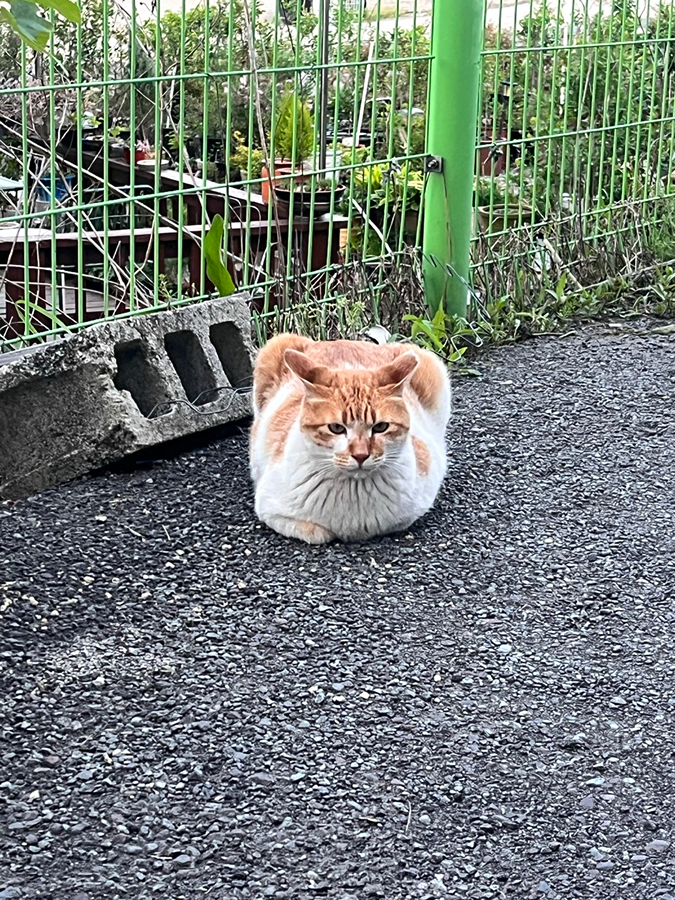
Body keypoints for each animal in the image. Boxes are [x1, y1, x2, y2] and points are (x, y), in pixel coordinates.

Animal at [247, 334, 448, 544]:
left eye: (381, 427)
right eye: (336, 428)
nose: (360, 455)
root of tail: (338, 340)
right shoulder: (270, 510)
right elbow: (318, 533)